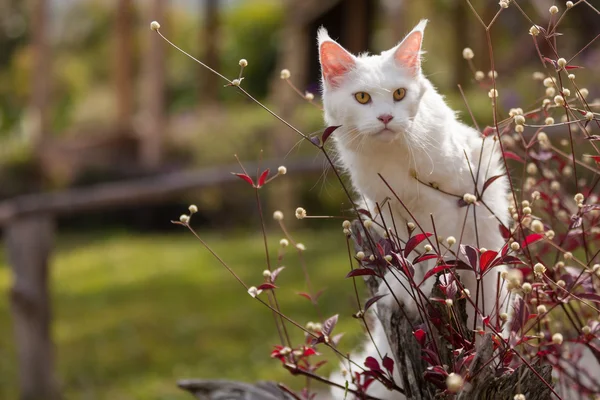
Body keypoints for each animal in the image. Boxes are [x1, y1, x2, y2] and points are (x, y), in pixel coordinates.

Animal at [318, 22, 510, 400]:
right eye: (362, 98)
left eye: (398, 94)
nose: (386, 117)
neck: (390, 156)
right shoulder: (385, 206)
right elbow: (407, 253)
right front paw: (407, 287)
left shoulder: (449, 203)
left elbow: (437, 250)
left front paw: (436, 284)